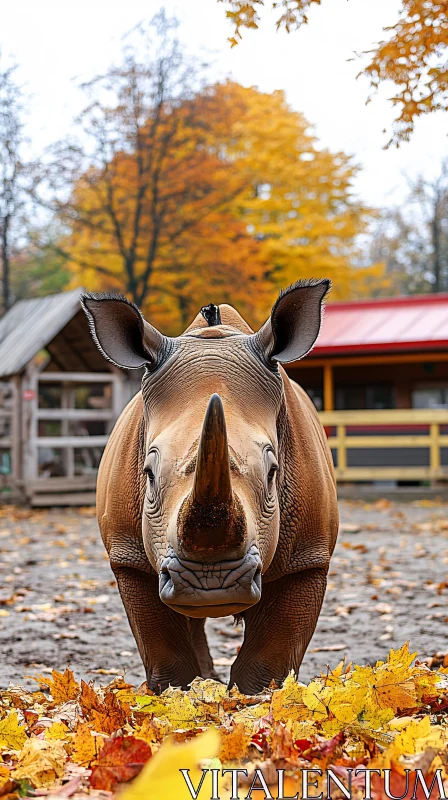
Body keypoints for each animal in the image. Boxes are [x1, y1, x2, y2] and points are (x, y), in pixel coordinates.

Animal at [82, 282, 338, 692]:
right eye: (147, 474)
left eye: (273, 473)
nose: (211, 585)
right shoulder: (129, 557)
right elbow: (167, 657)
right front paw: (182, 695)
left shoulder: (309, 558)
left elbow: (268, 662)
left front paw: (258, 699)